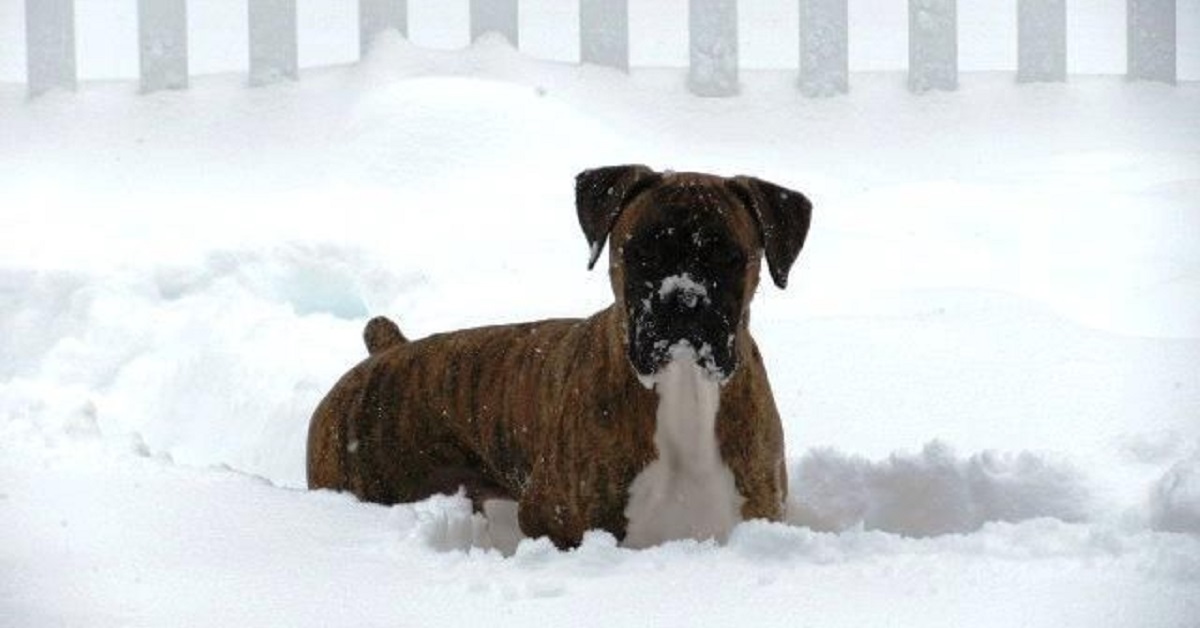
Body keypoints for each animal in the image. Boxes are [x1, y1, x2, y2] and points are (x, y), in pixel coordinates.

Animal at [307, 164, 816, 547]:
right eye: (640, 252)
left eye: (730, 257)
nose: (683, 300)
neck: (682, 389)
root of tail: (387, 351)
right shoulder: (554, 523)